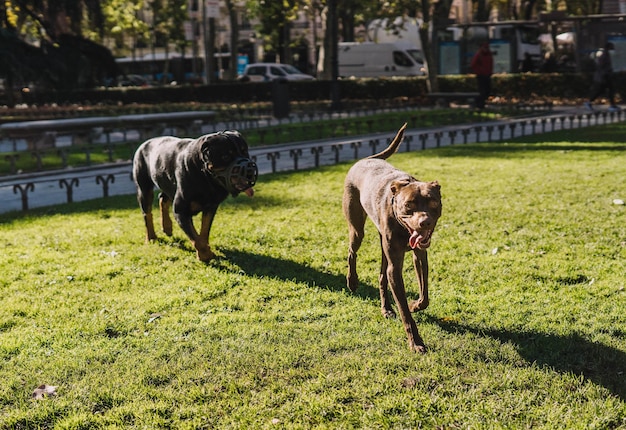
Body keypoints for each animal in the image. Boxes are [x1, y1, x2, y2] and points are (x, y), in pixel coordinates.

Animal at [133, 129, 258, 260]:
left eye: (245, 151)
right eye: (226, 156)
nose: (250, 169)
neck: (205, 177)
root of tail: (144, 143)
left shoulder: (211, 207)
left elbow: (204, 232)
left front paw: (206, 249)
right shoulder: (180, 211)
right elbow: (196, 238)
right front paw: (205, 255)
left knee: (163, 198)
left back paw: (167, 227)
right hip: (144, 188)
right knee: (147, 213)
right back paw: (151, 237)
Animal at [342, 122, 438, 352]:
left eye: (433, 203)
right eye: (409, 205)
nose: (425, 222)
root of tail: (366, 159)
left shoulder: (420, 256)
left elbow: (424, 295)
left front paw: (416, 305)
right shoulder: (396, 269)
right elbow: (405, 312)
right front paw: (416, 342)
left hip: (383, 244)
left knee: (381, 275)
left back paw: (386, 308)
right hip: (357, 228)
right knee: (352, 252)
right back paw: (352, 281)